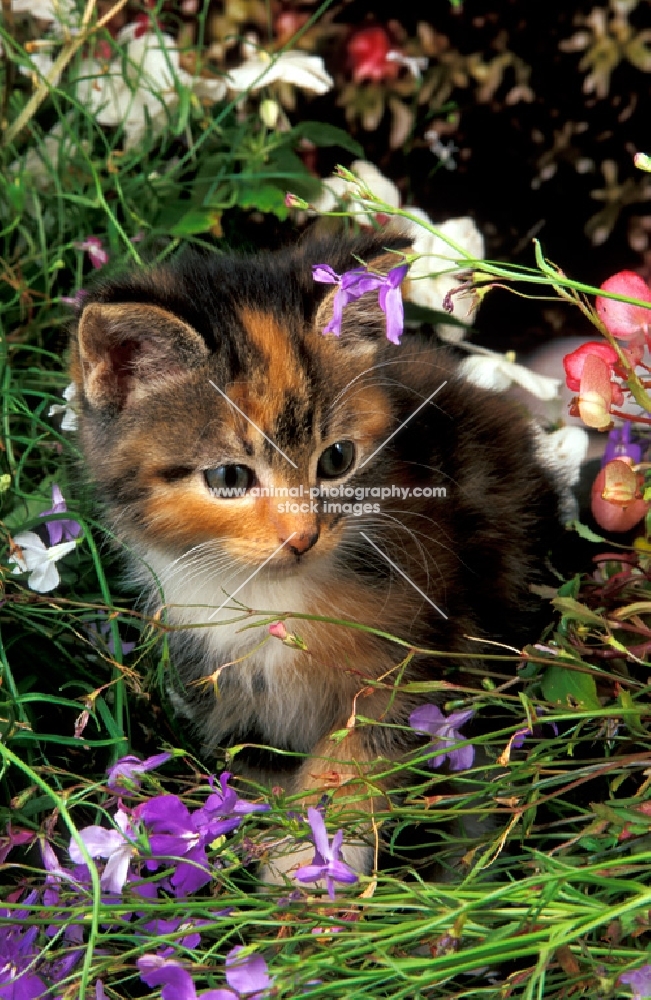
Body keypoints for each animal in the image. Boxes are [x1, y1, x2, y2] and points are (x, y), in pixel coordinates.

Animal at [69, 229, 564, 884]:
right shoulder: (225, 690)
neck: (268, 593)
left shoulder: (423, 650)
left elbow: (359, 753)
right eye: (228, 477)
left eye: (337, 460)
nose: (304, 536)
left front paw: (314, 868)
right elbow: (263, 772)